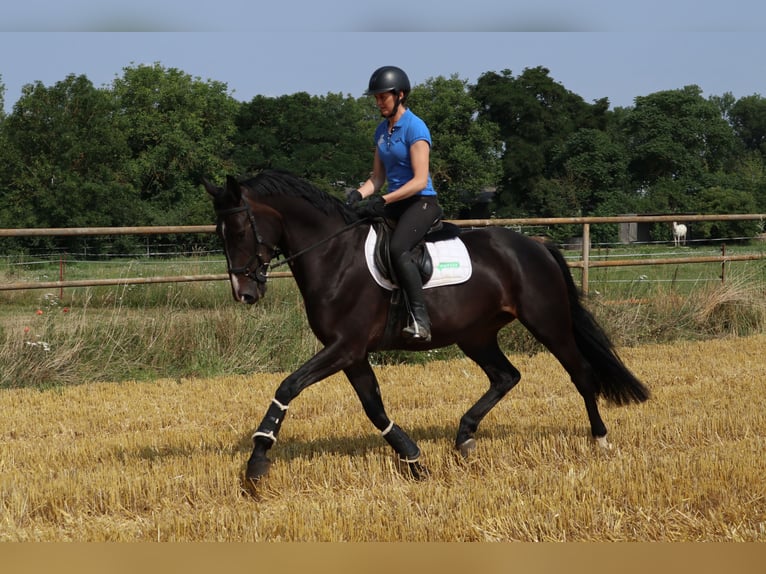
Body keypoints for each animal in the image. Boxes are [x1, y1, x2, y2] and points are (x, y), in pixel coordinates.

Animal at [202, 170, 648, 486]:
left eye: (239, 231)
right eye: (220, 234)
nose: (244, 293)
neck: (333, 255)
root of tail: (534, 244)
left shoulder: (344, 347)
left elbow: (288, 386)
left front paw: (257, 461)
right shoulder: (352, 353)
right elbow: (374, 407)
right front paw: (414, 460)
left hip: (546, 321)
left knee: (581, 373)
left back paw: (600, 439)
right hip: (476, 334)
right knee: (506, 376)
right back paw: (464, 436)